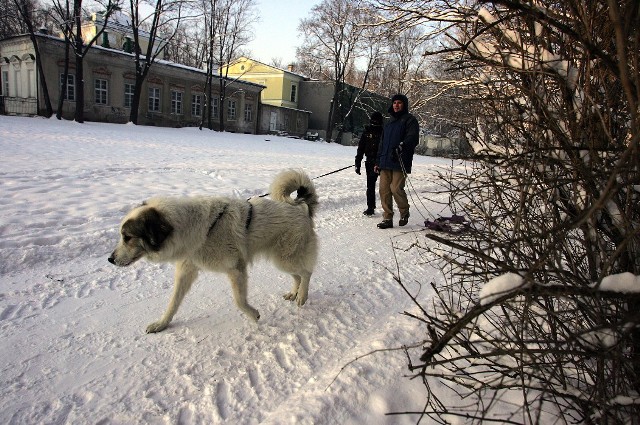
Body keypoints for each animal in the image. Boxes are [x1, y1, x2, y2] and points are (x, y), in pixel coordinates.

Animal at [111, 168, 320, 332]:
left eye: (127, 237)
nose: (110, 259)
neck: (197, 228)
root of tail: (300, 207)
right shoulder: (186, 271)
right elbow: (173, 303)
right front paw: (161, 324)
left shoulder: (236, 269)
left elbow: (239, 301)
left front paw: (253, 315)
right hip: (282, 259)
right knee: (298, 276)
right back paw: (294, 293)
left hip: (285, 258)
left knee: (306, 272)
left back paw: (302, 295)